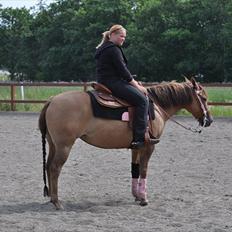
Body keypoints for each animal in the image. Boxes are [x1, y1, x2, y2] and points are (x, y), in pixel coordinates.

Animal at [39, 78, 212, 210]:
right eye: (203, 98)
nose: (209, 120)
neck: (156, 107)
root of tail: (52, 100)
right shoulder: (149, 146)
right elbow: (144, 170)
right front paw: (144, 199)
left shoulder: (137, 146)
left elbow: (134, 169)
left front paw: (137, 196)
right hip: (64, 146)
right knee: (55, 168)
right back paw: (57, 202)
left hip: (53, 144)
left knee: (48, 165)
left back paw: (52, 199)